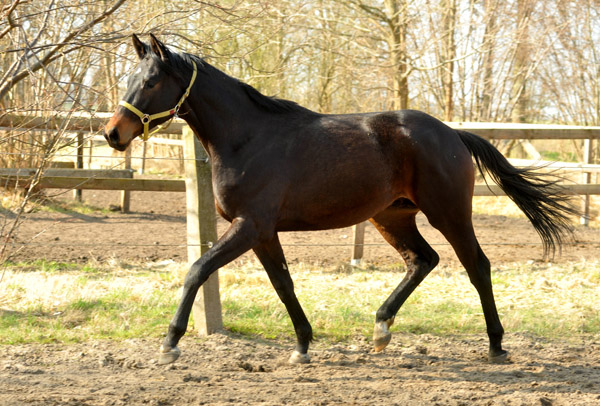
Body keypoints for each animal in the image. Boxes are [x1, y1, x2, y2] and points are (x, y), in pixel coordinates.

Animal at [103, 34, 576, 364]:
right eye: (129, 79)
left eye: (150, 81)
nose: (112, 133)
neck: (247, 138)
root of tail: (452, 133)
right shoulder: (263, 232)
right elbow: (283, 284)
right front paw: (302, 346)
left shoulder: (249, 225)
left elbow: (197, 270)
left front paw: (170, 343)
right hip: (392, 217)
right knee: (423, 260)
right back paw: (381, 328)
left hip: (449, 212)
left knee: (476, 265)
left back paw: (496, 345)